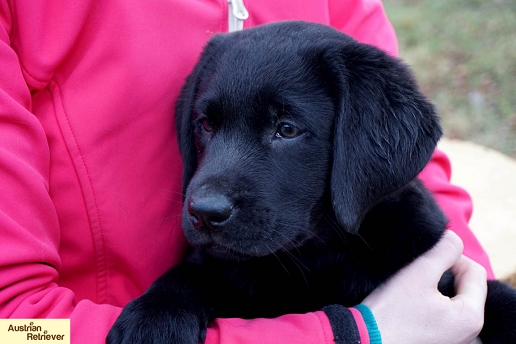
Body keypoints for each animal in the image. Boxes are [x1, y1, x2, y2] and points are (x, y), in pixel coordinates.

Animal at [108, 22, 516, 344]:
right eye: (205, 124)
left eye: (287, 129)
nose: (205, 213)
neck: (312, 259)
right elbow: (193, 272)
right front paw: (154, 318)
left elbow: (497, 297)